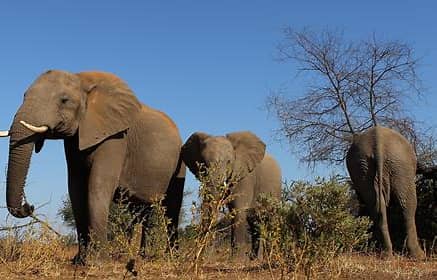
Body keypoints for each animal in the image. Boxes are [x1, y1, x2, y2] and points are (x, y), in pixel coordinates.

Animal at [0, 70, 186, 264]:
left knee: (171, 208)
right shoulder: (75, 140)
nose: (29, 206)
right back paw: (140, 256)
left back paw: (171, 258)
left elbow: (97, 185)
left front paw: (99, 261)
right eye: (24, 95)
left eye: (64, 100)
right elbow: (75, 189)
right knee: (143, 211)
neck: (82, 80)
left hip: (179, 162)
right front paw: (79, 261)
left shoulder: (116, 136)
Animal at [346, 126, 424, 260]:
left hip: (362, 167)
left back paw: (385, 253)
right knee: (408, 204)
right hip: (401, 165)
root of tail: (378, 143)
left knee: (376, 205)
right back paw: (419, 256)